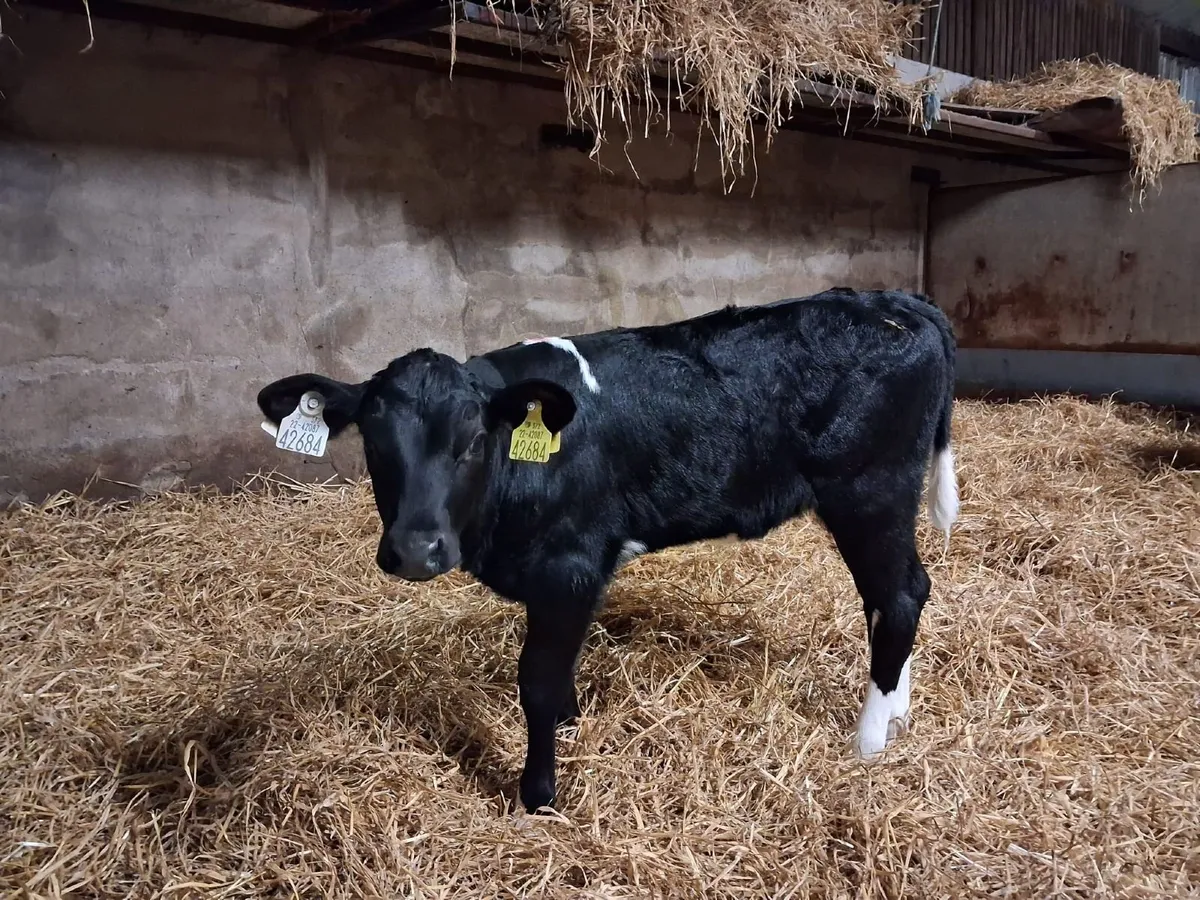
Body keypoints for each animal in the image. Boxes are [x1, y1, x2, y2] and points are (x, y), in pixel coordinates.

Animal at [257, 287, 959, 814]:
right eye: (374, 443)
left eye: (472, 441)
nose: (414, 550)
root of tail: (888, 299)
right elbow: (561, 671)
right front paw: (571, 725)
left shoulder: (569, 568)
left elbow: (537, 683)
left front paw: (538, 795)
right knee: (899, 593)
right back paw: (899, 712)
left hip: (870, 491)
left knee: (898, 597)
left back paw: (868, 742)